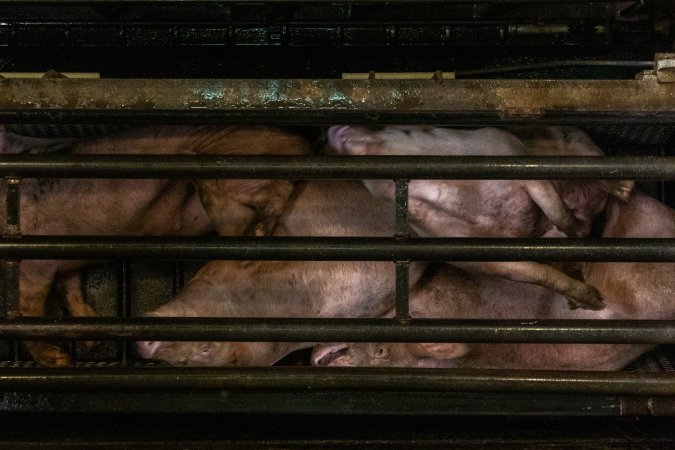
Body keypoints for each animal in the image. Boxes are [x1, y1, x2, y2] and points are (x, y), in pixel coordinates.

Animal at [0, 124, 312, 366]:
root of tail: (301, 144)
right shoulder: (56, 259)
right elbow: (65, 291)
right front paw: (87, 345)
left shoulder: (39, 262)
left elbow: (33, 307)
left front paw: (68, 357)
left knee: (271, 194)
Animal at [328, 125, 632, 312]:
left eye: (402, 129)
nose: (335, 129)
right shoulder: (474, 255)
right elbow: (540, 273)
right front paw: (592, 302)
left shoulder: (515, 159)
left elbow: (555, 209)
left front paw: (579, 235)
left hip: (578, 139)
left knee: (598, 165)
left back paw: (623, 189)